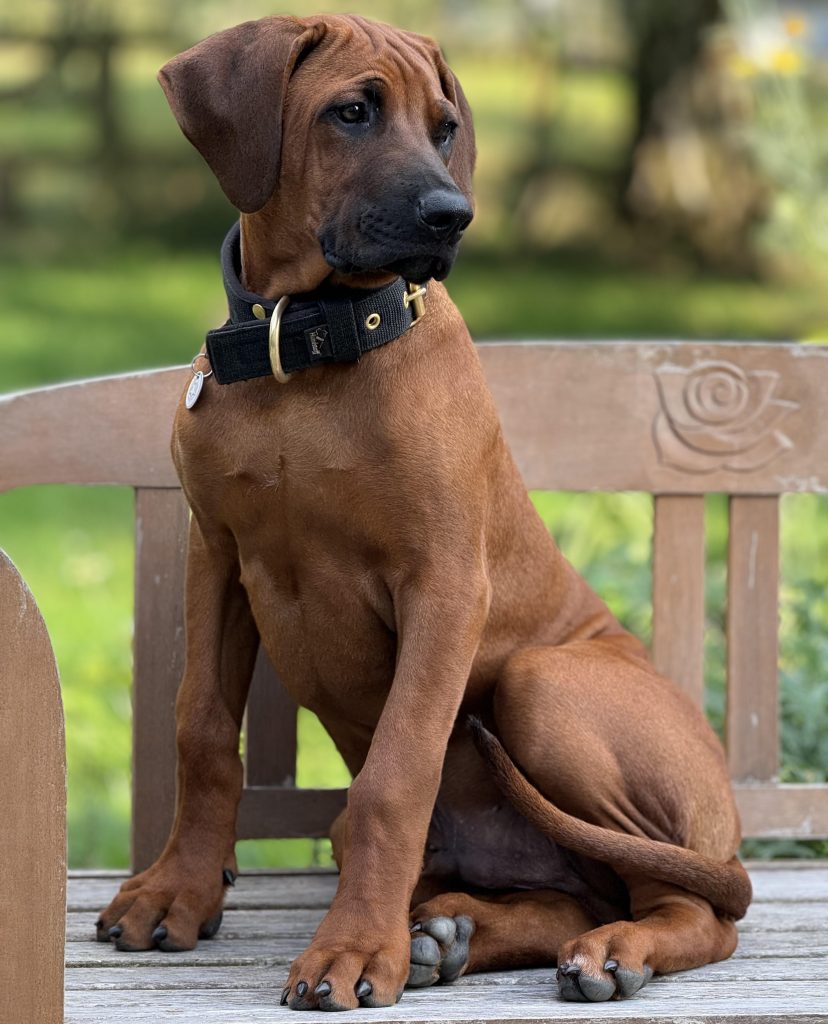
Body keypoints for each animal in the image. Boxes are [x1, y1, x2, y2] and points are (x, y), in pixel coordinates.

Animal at [95, 12, 749, 1011]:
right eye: (352, 111)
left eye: (445, 129)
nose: (453, 216)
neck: (309, 347)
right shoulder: (218, 558)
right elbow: (201, 731)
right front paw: (178, 892)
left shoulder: (443, 584)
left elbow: (395, 779)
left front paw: (356, 951)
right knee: (563, 895)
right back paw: (449, 935)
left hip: (545, 685)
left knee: (695, 910)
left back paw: (610, 950)